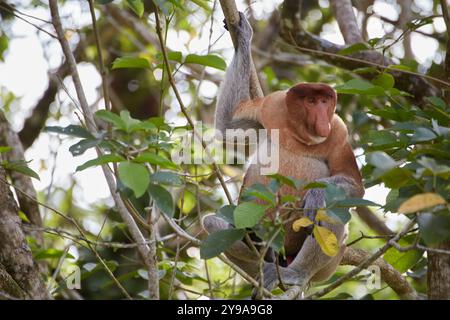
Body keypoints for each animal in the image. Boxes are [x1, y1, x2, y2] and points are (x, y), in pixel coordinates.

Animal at [202, 13, 364, 298]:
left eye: (325, 101)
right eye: (311, 101)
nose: (322, 120)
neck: (299, 135)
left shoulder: (339, 130)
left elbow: (354, 186)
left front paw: (317, 193)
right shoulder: (269, 108)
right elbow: (227, 127)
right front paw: (243, 37)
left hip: (331, 260)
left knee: (330, 210)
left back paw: (294, 274)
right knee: (212, 224)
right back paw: (263, 267)